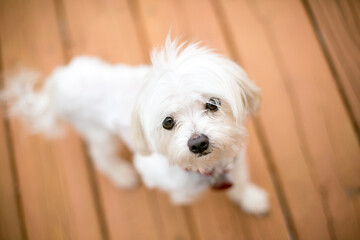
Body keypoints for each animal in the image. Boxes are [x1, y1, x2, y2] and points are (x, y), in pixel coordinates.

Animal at [1, 36, 268, 215]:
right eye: (168, 122)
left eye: (212, 104)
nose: (198, 143)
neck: (208, 168)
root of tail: (55, 83)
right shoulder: (153, 170)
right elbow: (183, 192)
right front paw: (183, 197)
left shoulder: (235, 160)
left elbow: (240, 182)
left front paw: (250, 199)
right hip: (100, 135)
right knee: (100, 155)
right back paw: (120, 174)